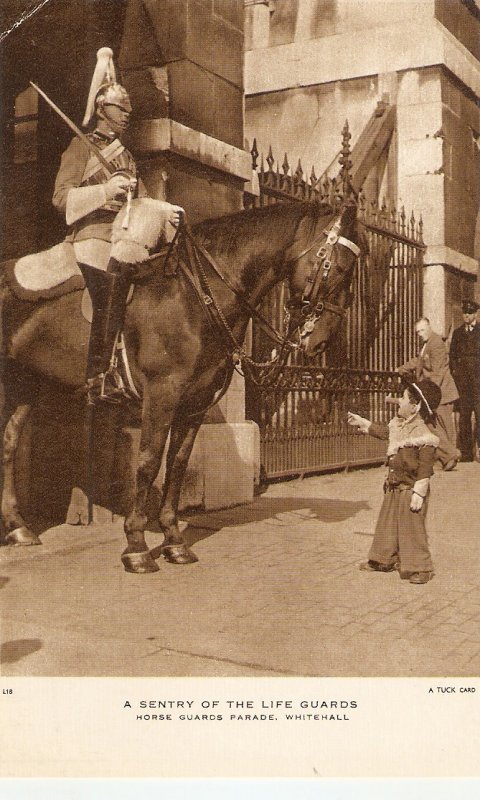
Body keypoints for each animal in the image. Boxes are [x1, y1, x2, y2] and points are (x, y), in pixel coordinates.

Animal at [0, 197, 366, 572]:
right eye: (338, 267)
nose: (321, 342)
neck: (195, 297)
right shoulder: (161, 397)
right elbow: (148, 462)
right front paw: (136, 545)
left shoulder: (195, 405)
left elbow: (177, 465)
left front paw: (174, 541)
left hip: (25, 381)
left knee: (9, 442)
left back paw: (18, 527)